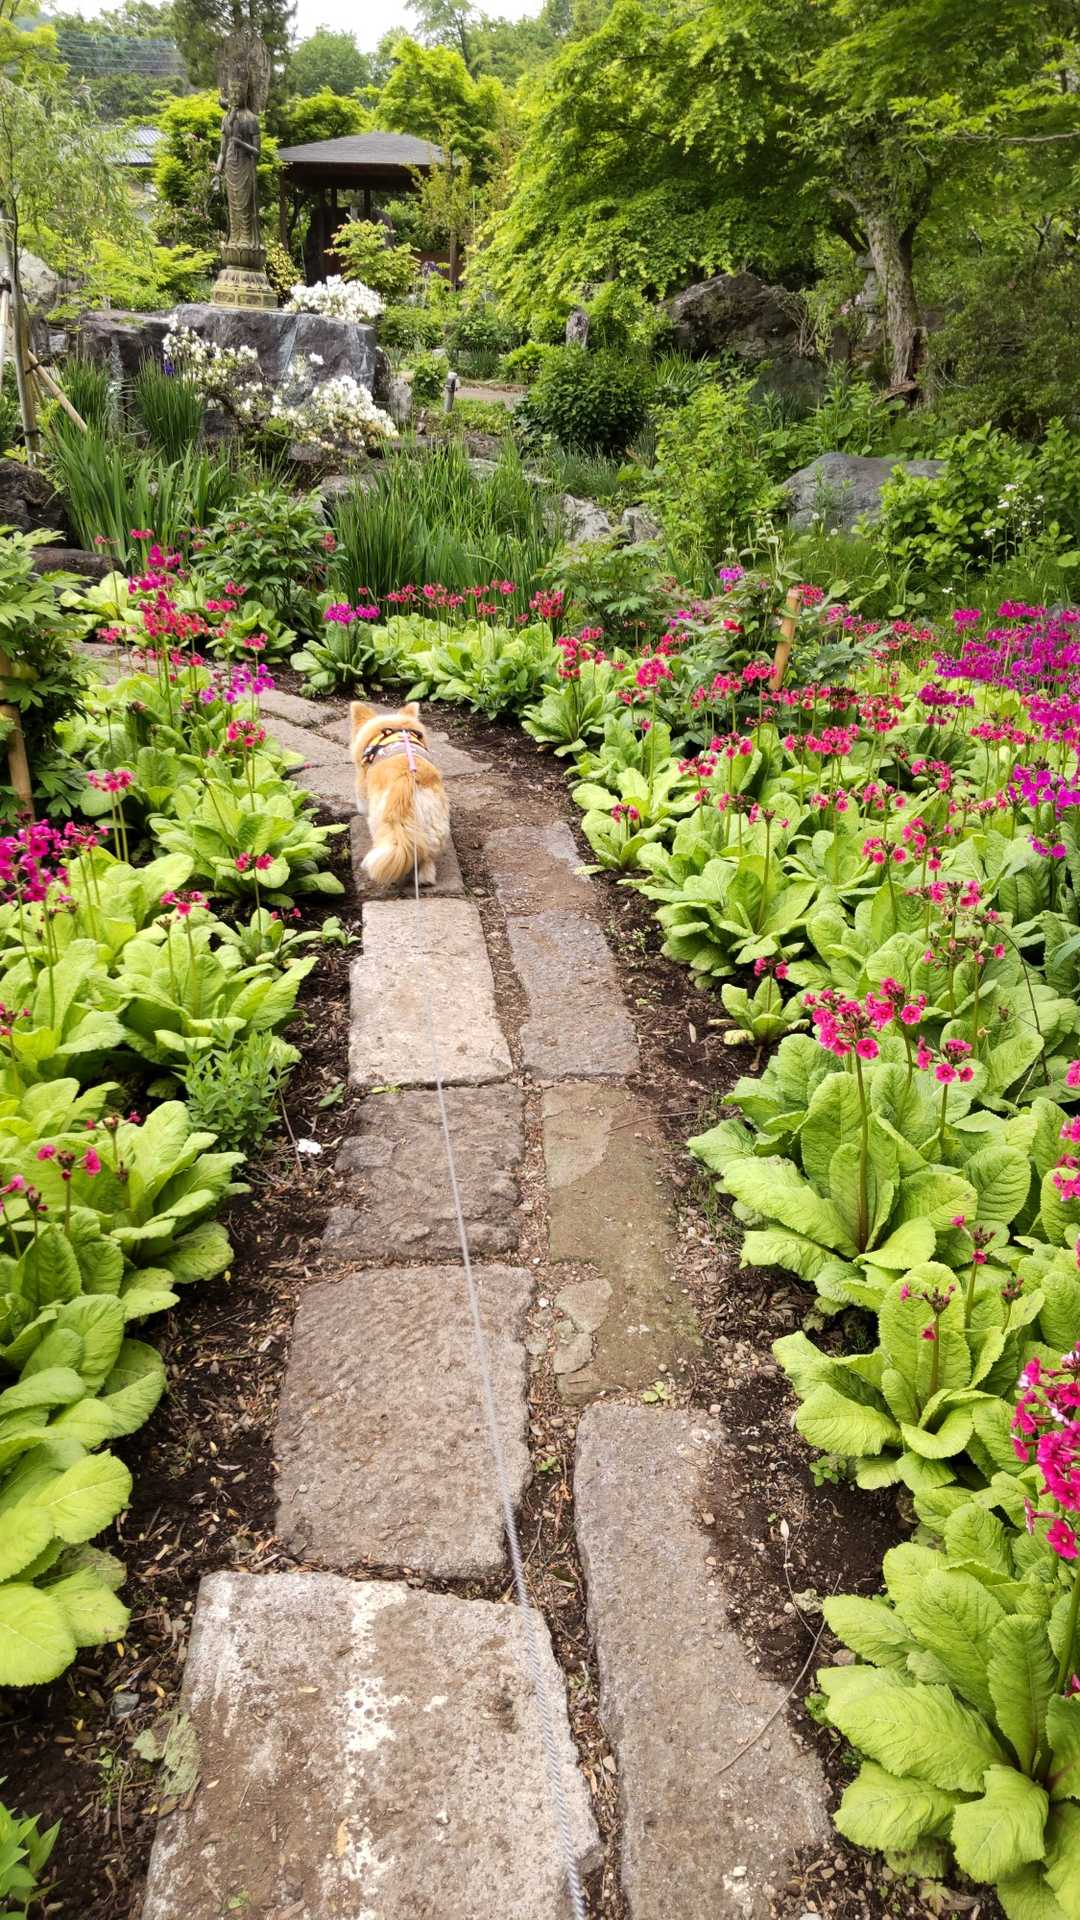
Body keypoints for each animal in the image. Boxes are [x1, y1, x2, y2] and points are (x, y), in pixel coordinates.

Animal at [349, 701, 451, 889]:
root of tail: (406, 780)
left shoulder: (362, 785)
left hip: (380, 822)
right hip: (435, 829)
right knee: (426, 859)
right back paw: (424, 879)